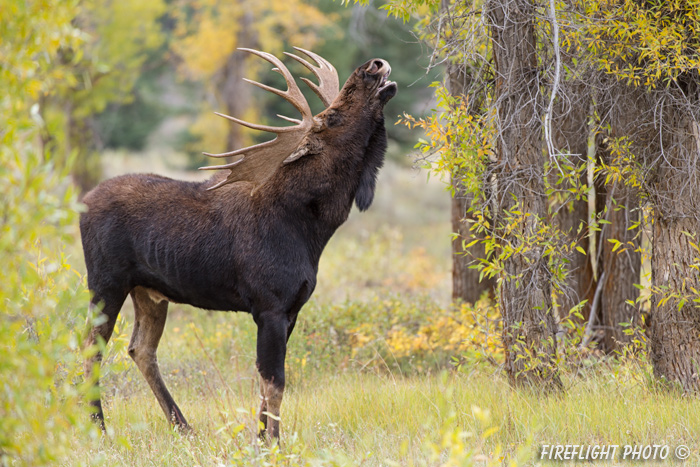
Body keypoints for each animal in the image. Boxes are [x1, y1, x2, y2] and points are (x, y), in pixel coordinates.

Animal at [79, 49, 396, 440]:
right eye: (331, 117)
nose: (373, 66)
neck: (312, 228)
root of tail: (82, 203)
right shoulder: (269, 305)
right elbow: (275, 382)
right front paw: (273, 442)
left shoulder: (291, 310)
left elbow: (264, 383)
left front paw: (260, 436)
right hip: (105, 281)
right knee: (92, 346)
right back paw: (98, 426)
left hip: (149, 292)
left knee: (141, 349)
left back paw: (182, 425)